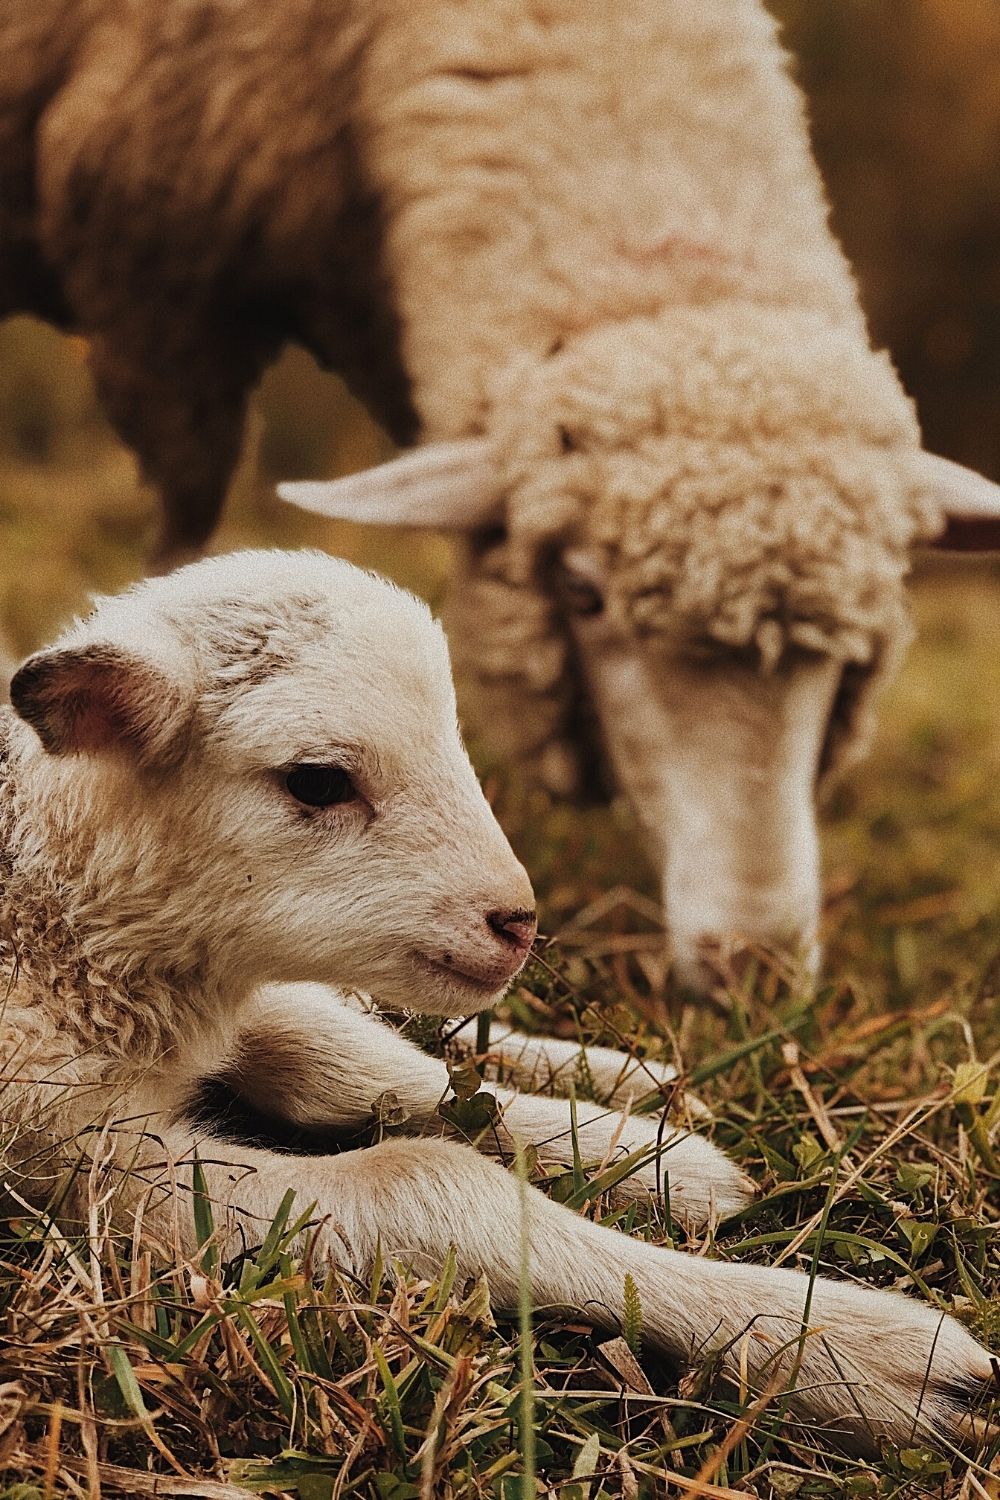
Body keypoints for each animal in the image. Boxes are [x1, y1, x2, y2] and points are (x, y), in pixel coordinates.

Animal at [0, 552, 995, 1452]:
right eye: (318, 780)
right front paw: (847, 1350)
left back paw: (625, 1077)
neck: (63, 934)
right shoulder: (94, 1172)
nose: (517, 922)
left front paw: (656, 1159)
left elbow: (349, 1063)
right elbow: (428, 1179)